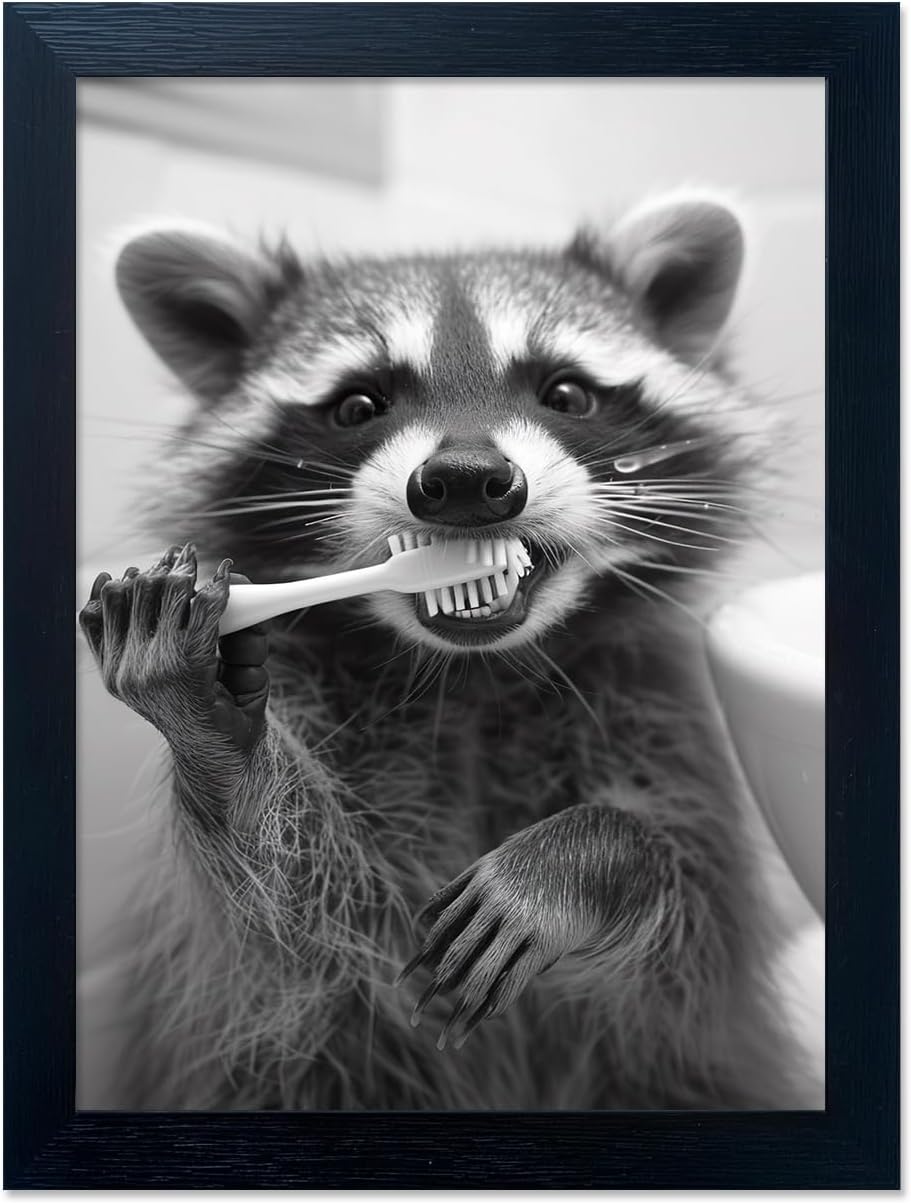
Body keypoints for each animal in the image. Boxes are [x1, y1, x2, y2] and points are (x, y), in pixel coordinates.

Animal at [80, 193, 814, 1109]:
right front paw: (219, 743)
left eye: (566, 392)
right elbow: (293, 929)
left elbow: (685, 956)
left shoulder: (663, 726)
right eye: (358, 405)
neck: (473, 674)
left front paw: (589, 856)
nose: (465, 479)